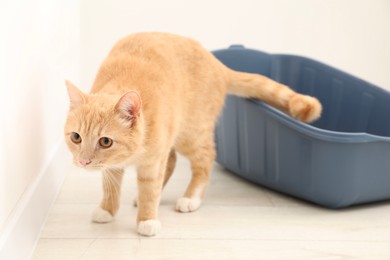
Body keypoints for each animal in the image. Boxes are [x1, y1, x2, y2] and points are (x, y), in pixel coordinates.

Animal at [63, 32, 320, 236]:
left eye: (105, 141)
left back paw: (191, 198)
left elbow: (150, 188)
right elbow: (112, 186)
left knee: (204, 158)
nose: (83, 161)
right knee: (173, 161)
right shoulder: (117, 165)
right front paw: (107, 209)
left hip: (191, 133)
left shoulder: (153, 160)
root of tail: (218, 64)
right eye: (76, 137)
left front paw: (147, 219)